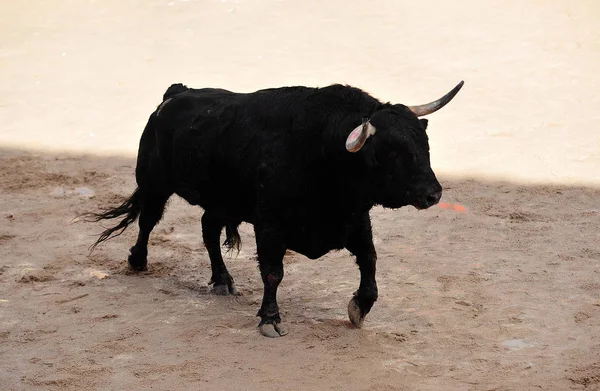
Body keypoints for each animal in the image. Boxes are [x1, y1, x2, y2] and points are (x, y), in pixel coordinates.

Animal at [89, 80, 464, 336]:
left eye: (424, 144)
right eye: (392, 153)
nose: (433, 194)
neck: (323, 153)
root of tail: (175, 93)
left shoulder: (355, 221)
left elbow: (370, 261)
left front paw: (360, 306)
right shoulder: (269, 226)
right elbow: (273, 272)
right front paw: (270, 318)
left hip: (223, 200)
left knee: (209, 230)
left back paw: (222, 279)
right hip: (155, 183)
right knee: (148, 221)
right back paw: (138, 261)